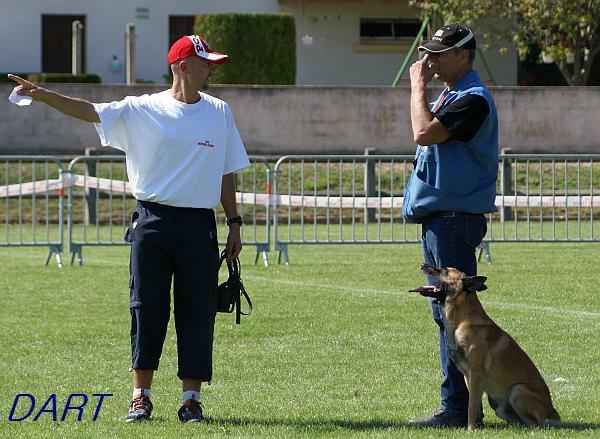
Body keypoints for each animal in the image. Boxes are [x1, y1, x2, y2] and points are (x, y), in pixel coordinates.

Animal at [410, 264, 560, 430]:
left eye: (444, 270)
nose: (423, 265)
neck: (460, 322)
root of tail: (553, 412)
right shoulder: (468, 377)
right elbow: (473, 405)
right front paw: (476, 427)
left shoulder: (476, 374)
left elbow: (471, 407)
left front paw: (470, 430)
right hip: (498, 405)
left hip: (517, 390)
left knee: (536, 425)